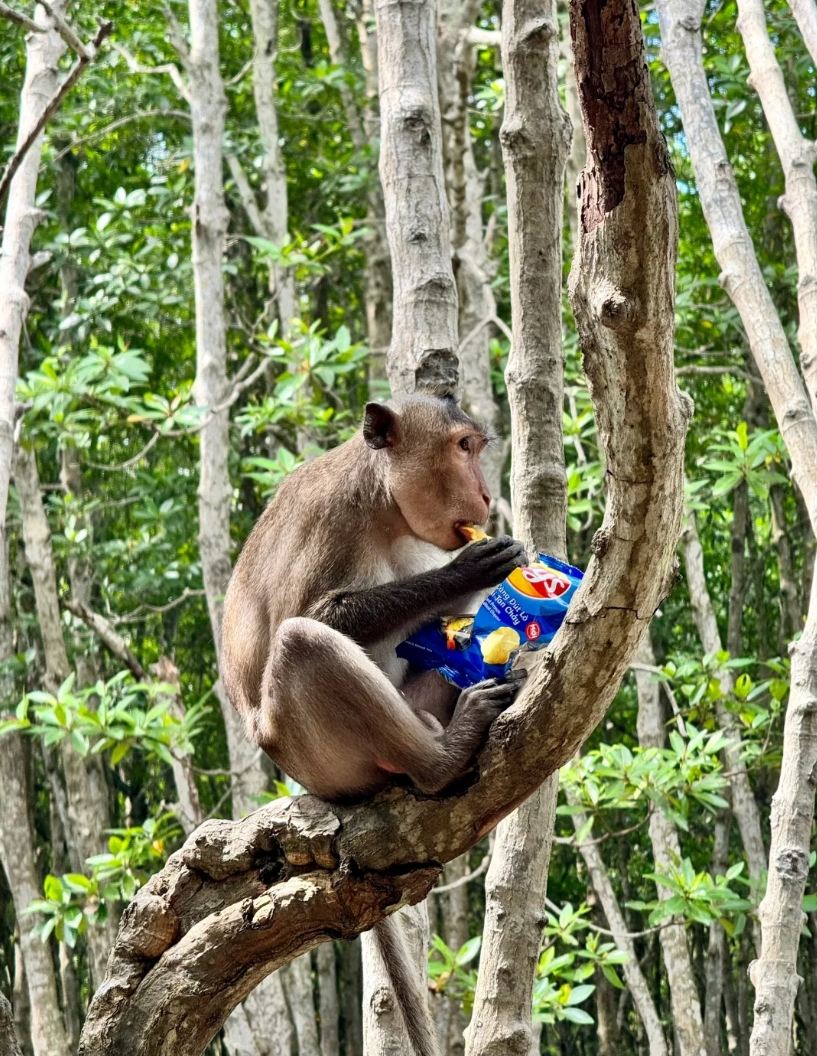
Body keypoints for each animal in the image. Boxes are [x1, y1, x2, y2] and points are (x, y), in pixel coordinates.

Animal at [220, 393, 528, 1056]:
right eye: (463, 447)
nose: (486, 496)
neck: (385, 509)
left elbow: (448, 627)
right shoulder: (330, 519)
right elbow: (312, 614)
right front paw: (470, 570)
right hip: (312, 748)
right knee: (302, 642)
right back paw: (440, 763)